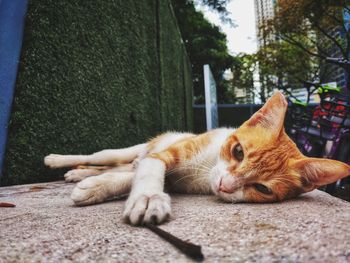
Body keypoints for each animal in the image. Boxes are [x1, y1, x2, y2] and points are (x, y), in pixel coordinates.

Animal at [43, 92, 350, 226]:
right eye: (238, 152)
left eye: (262, 188)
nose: (225, 186)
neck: (206, 170)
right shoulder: (164, 155)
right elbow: (149, 171)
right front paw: (148, 198)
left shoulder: (174, 178)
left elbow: (128, 177)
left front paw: (97, 186)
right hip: (128, 150)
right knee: (101, 156)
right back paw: (58, 160)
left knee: (118, 167)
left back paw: (81, 174)